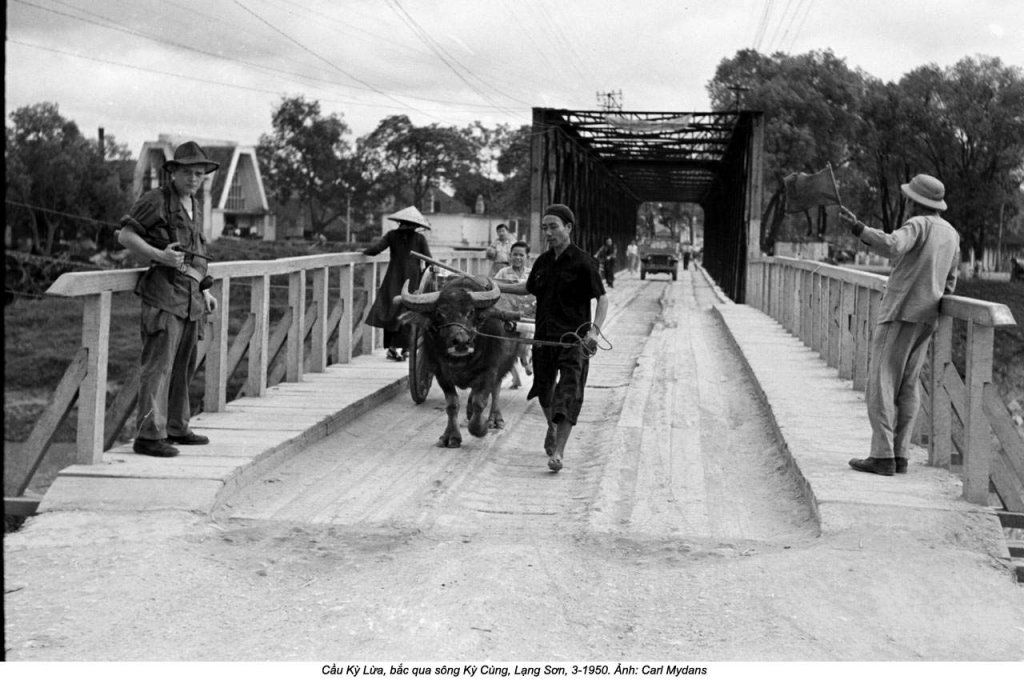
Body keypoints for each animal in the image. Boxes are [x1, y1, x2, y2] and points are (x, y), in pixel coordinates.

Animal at [397, 276, 520, 446]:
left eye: (471, 312)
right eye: (439, 314)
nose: (461, 342)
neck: (461, 360)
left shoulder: (490, 370)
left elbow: (480, 401)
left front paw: (479, 428)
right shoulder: (441, 374)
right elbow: (452, 404)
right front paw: (451, 436)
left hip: (503, 365)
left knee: (495, 390)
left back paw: (494, 419)